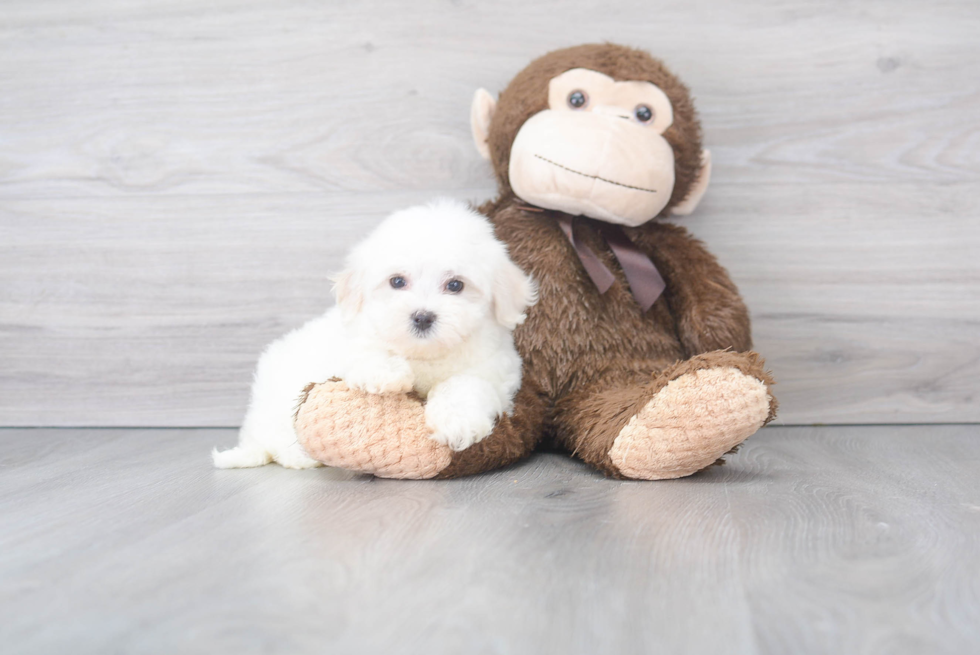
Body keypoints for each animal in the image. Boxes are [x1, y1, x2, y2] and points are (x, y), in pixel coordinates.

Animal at [212, 200, 536, 472]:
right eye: (397, 281)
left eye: (455, 285)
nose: (422, 316)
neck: (424, 354)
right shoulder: (349, 340)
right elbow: (364, 351)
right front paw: (386, 373)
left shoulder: (495, 371)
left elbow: (465, 384)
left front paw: (457, 422)